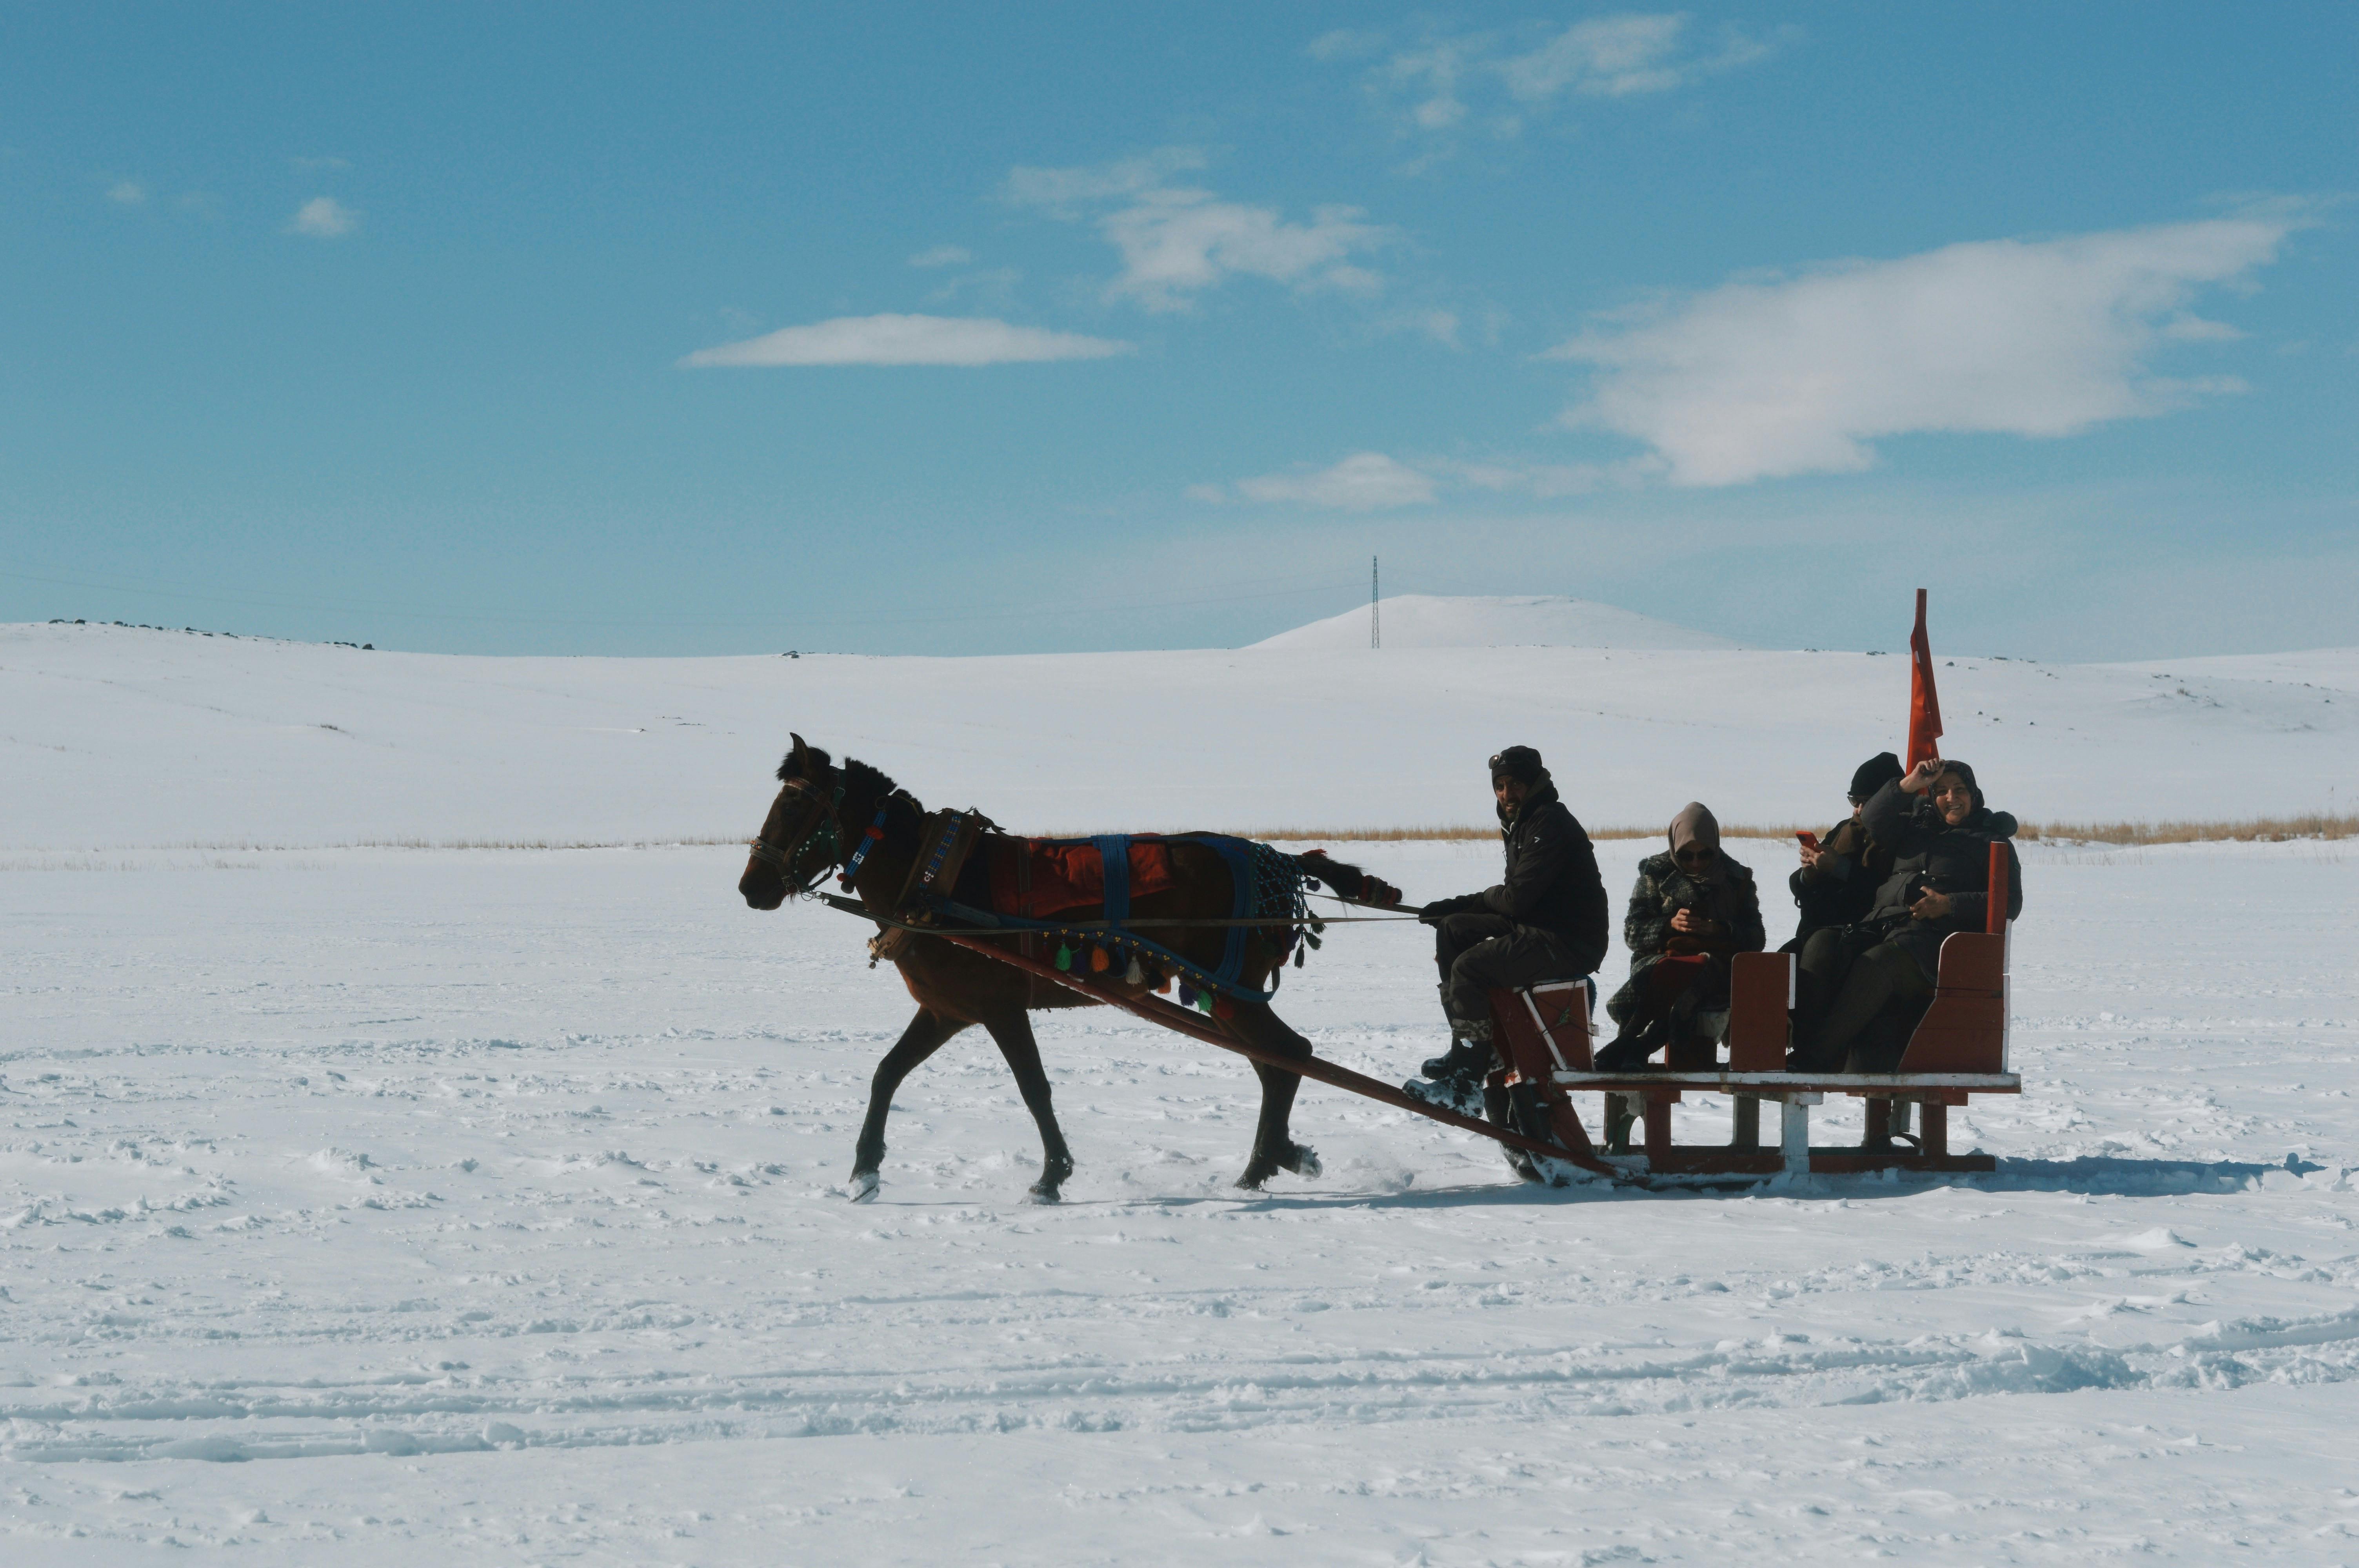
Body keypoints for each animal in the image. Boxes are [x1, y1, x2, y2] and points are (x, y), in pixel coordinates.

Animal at [736, 734, 1397, 1201]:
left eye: (794, 802)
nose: (751, 887)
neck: (929, 879)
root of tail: (1279, 861)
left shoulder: (999, 1007)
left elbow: (1033, 1088)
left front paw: (1052, 1175)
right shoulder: (946, 1010)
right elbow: (886, 1075)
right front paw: (864, 1172)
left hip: (1230, 990)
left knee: (1290, 1056)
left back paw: (1264, 1164)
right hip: (1227, 995)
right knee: (1279, 1063)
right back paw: (1274, 1158)